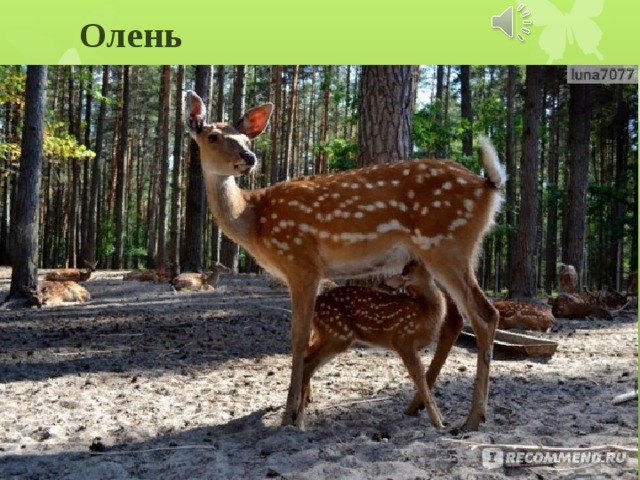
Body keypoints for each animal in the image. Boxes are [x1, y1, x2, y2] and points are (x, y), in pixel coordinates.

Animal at [302, 260, 446, 429]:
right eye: (417, 265)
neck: (424, 310)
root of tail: (317, 302)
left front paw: (441, 418)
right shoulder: (403, 340)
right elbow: (419, 376)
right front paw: (437, 422)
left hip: (328, 334)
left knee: (306, 356)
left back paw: (305, 403)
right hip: (336, 334)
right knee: (308, 362)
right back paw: (300, 415)